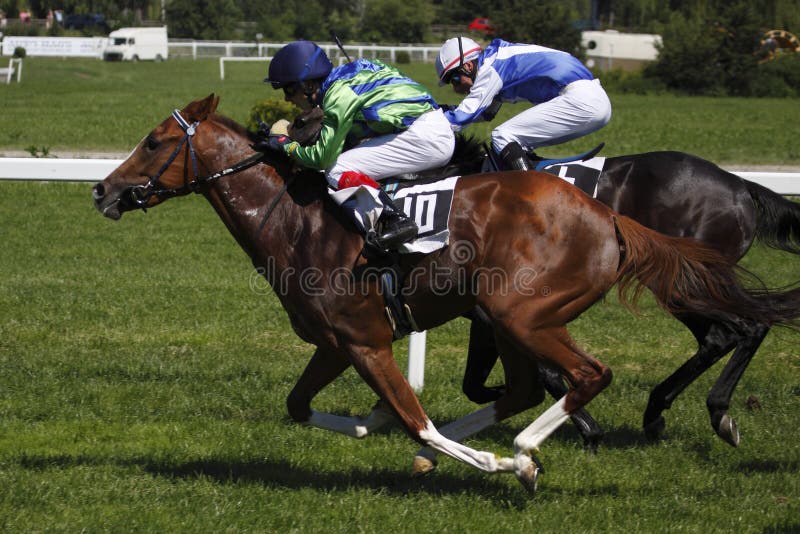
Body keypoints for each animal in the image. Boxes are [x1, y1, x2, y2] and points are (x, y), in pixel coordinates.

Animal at [90, 95, 796, 494]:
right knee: (537, 384)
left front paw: (488, 459)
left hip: (526, 313)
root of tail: (608, 219)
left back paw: (531, 450)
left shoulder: (366, 339)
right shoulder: (334, 343)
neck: (297, 219)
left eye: (153, 142)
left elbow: (418, 420)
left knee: (600, 371)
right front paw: (372, 421)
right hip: (516, 318)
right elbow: (300, 406)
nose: (102, 190)